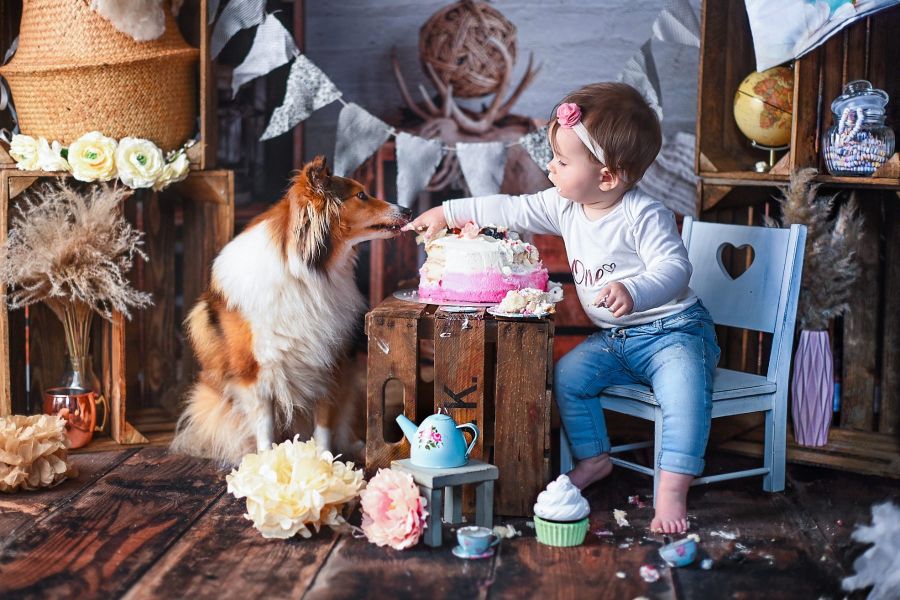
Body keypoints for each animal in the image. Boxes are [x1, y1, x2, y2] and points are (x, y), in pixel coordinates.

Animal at [171, 156, 410, 464]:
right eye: (360, 195)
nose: (408, 210)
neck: (305, 274)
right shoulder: (255, 375)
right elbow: (265, 426)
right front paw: (266, 463)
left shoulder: (328, 363)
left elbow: (324, 424)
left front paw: (324, 461)